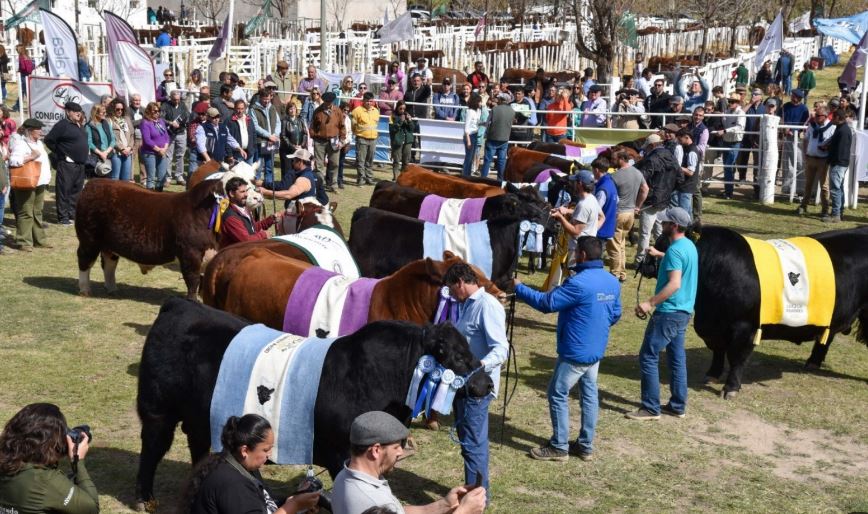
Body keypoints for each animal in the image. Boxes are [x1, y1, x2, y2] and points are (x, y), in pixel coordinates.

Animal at [75, 179, 226, 299]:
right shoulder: (190, 253)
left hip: (109, 245)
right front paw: (193, 300)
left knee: (109, 264)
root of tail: (92, 183)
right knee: (85, 261)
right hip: (89, 240)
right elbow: (193, 280)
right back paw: (85, 290)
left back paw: (112, 289)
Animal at [135, 297, 493, 508]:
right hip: (157, 409)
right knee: (153, 446)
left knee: (198, 445)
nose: (487, 383)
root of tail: (179, 304)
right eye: (455, 355)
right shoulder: (339, 451)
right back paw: (143, 498)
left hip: (197, 414)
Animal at [692, 226, 868, 399]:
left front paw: (731, 388)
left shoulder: (745, 326)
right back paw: (812, 363)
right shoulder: (711, 327)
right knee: (827, 336)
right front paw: (712, 375)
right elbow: (718, 350)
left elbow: (736, 356)